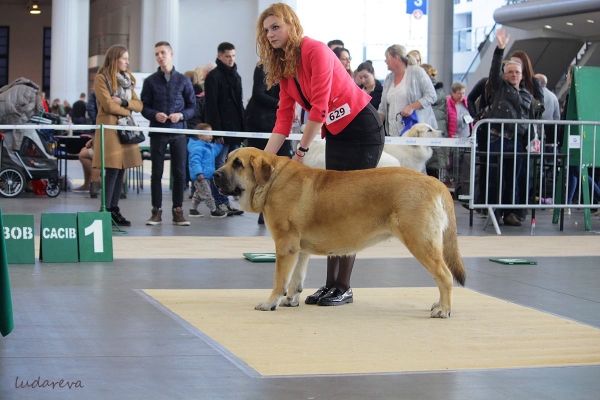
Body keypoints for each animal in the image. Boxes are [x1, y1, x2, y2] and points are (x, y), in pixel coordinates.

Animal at [213, 145, 466, 318]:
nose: (215, 174)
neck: (272, 181)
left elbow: (280, 280)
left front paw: (270, 303)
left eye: (238, 164)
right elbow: (296, 278)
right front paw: (291, 299)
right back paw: (439, 304)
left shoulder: (285, 246)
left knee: (444, 276)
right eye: (226, 160)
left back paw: (443, 310)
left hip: (420, 242)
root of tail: (436, 182)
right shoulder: (299, 249)